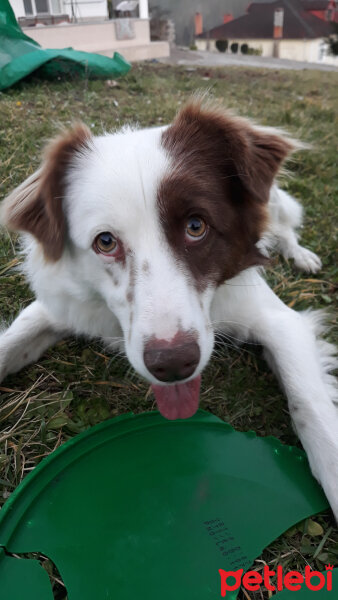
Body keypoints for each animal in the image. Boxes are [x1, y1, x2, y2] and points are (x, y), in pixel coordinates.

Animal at [0, 98, 338, 516]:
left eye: (196, 226)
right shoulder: (59, 307)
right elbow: (11, 344)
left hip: (273, 199)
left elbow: (309, 405)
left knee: (285, 225)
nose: (174, 364)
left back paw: (300, 254)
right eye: (105, 242)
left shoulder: (278, 321)